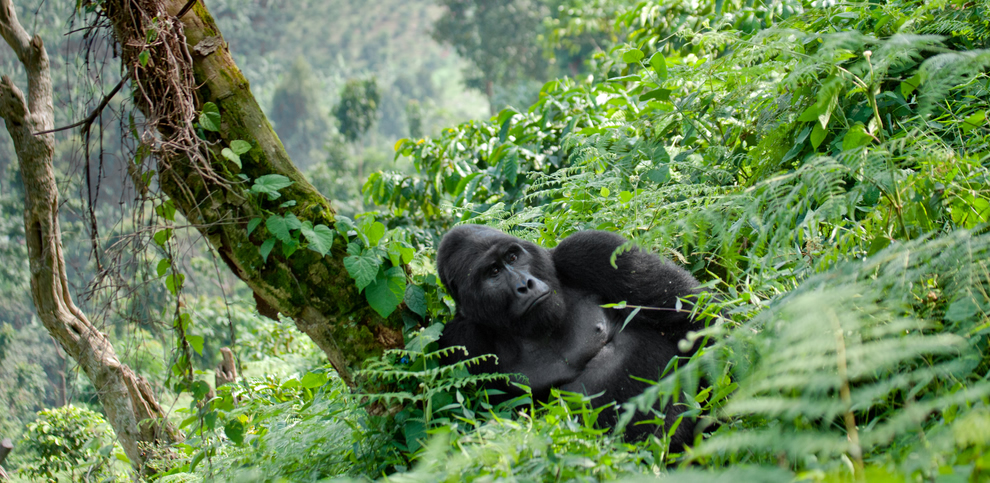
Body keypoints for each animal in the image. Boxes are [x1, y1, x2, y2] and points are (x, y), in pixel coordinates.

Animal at [438, 225, 708, 448]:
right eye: (493, 272)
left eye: (513, 257)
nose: (525, 285)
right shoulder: (461, 340)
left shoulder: (590, 250)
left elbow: (690, 314)